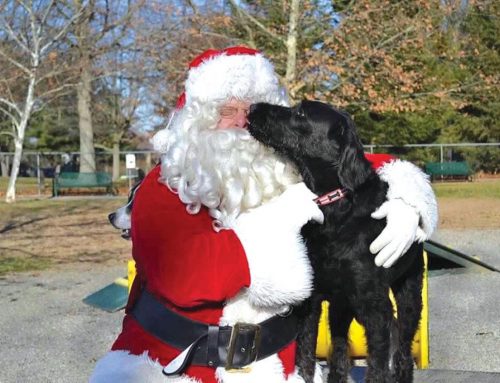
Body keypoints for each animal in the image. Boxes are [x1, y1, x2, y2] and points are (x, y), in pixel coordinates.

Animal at [248, 102, 424, 383]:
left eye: (301, 113)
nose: (253, 107)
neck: (335, 207)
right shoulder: (310, 301)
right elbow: (306, 356)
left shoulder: (375, 307)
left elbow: (377, 366)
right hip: (341, 306)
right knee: (340, 350)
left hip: (409, 295)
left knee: (403, 352)